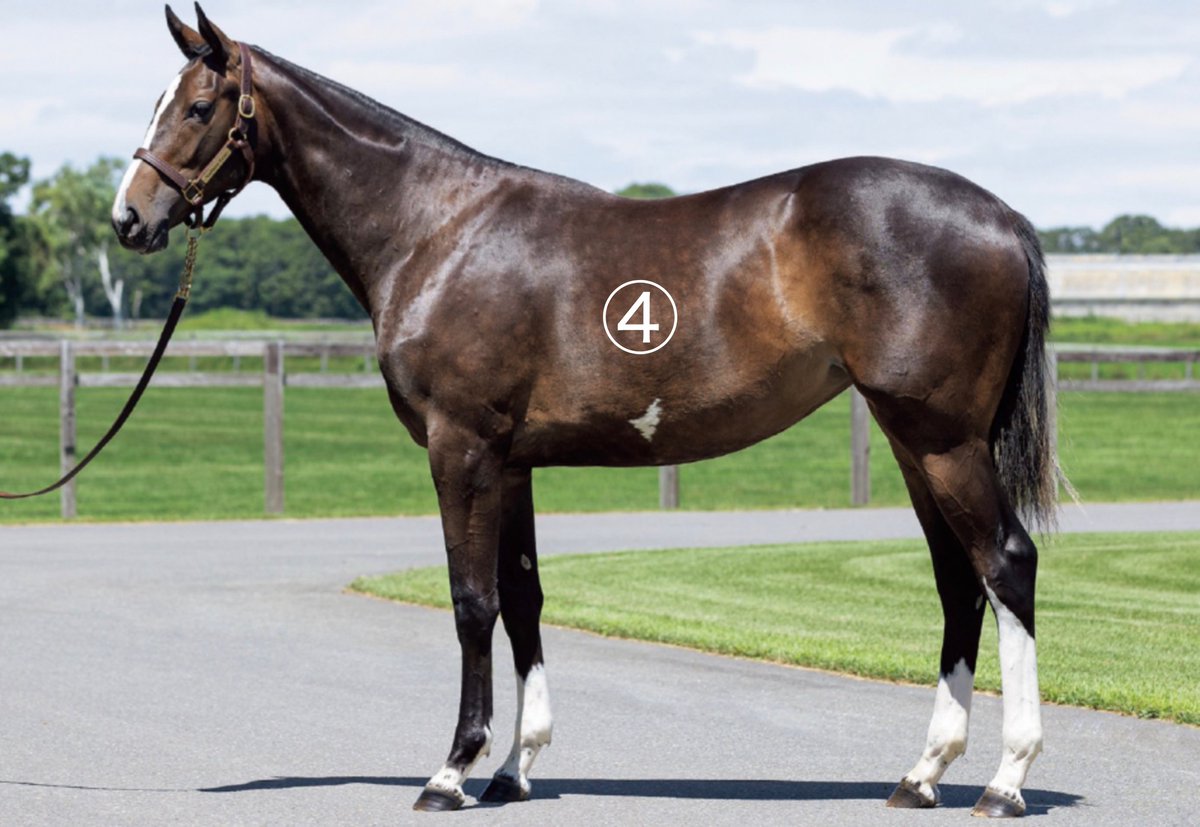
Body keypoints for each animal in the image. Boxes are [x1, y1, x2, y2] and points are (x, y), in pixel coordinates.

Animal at [112, 6, 1059, 818]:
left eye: (199, 106)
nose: (129, 217)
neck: (438, 228)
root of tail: (1005, 216)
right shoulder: (512, 460)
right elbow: (525, 598)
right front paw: (514, 767)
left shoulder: (462, 447)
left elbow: (473, 600)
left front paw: (451, 770)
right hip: (914, 441)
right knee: (957, 580)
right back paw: (922, 773)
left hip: (943, 439)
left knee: (1005, 563)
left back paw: (1004, 780)